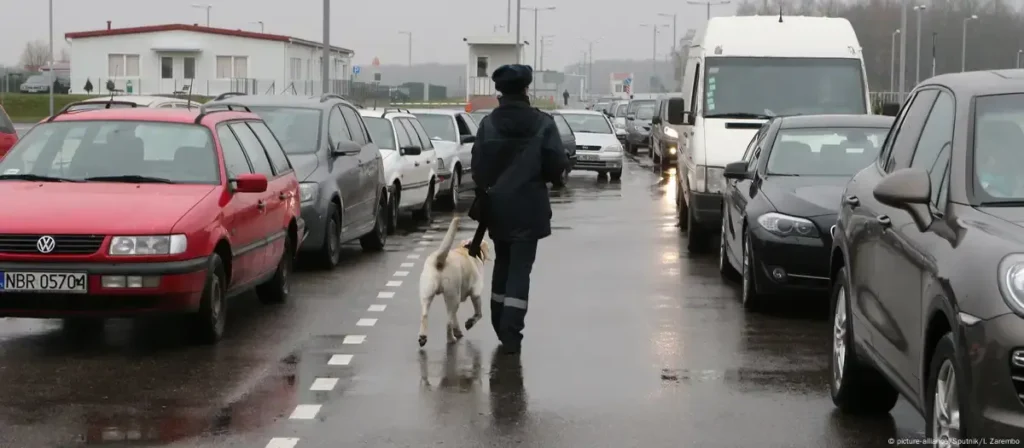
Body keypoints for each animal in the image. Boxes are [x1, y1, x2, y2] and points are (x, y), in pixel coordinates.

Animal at [417, 216, 493, 345]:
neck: (467, 249)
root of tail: (439, 260)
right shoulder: (476, 293)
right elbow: (479, 314)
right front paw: (470, 322)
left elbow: (455, 318)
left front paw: (457, 330)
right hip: (454, 297)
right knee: (448, 323)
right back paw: (451, 339)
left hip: (428, 294)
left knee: (424, 315)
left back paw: (423, 336)